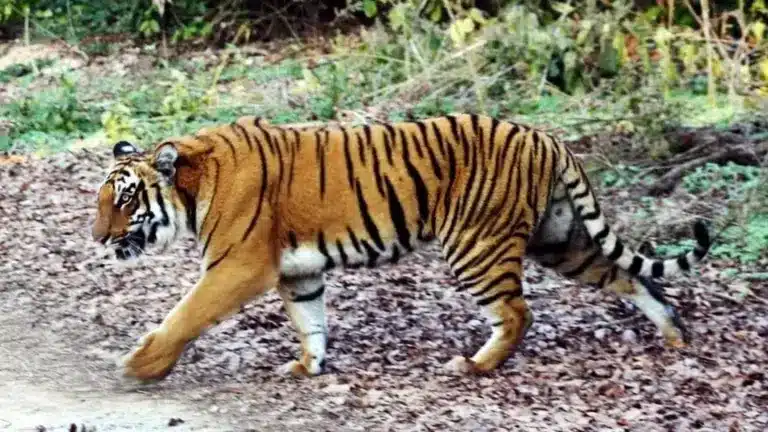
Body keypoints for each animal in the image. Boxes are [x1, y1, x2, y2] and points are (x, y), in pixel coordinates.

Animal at [91, 114, 711, 382]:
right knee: (630, 275)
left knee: (517, 311)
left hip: (477, 246)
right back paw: (675, 335)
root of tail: (546, 136)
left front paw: (139, 365)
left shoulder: (238, 266)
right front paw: (309, 367)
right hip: (559, 239)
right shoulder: (298, 273)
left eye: (124, 200)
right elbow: (311, 321)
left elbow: (183, 316)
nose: (96, 238)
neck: (194, 186)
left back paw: (474, 365)